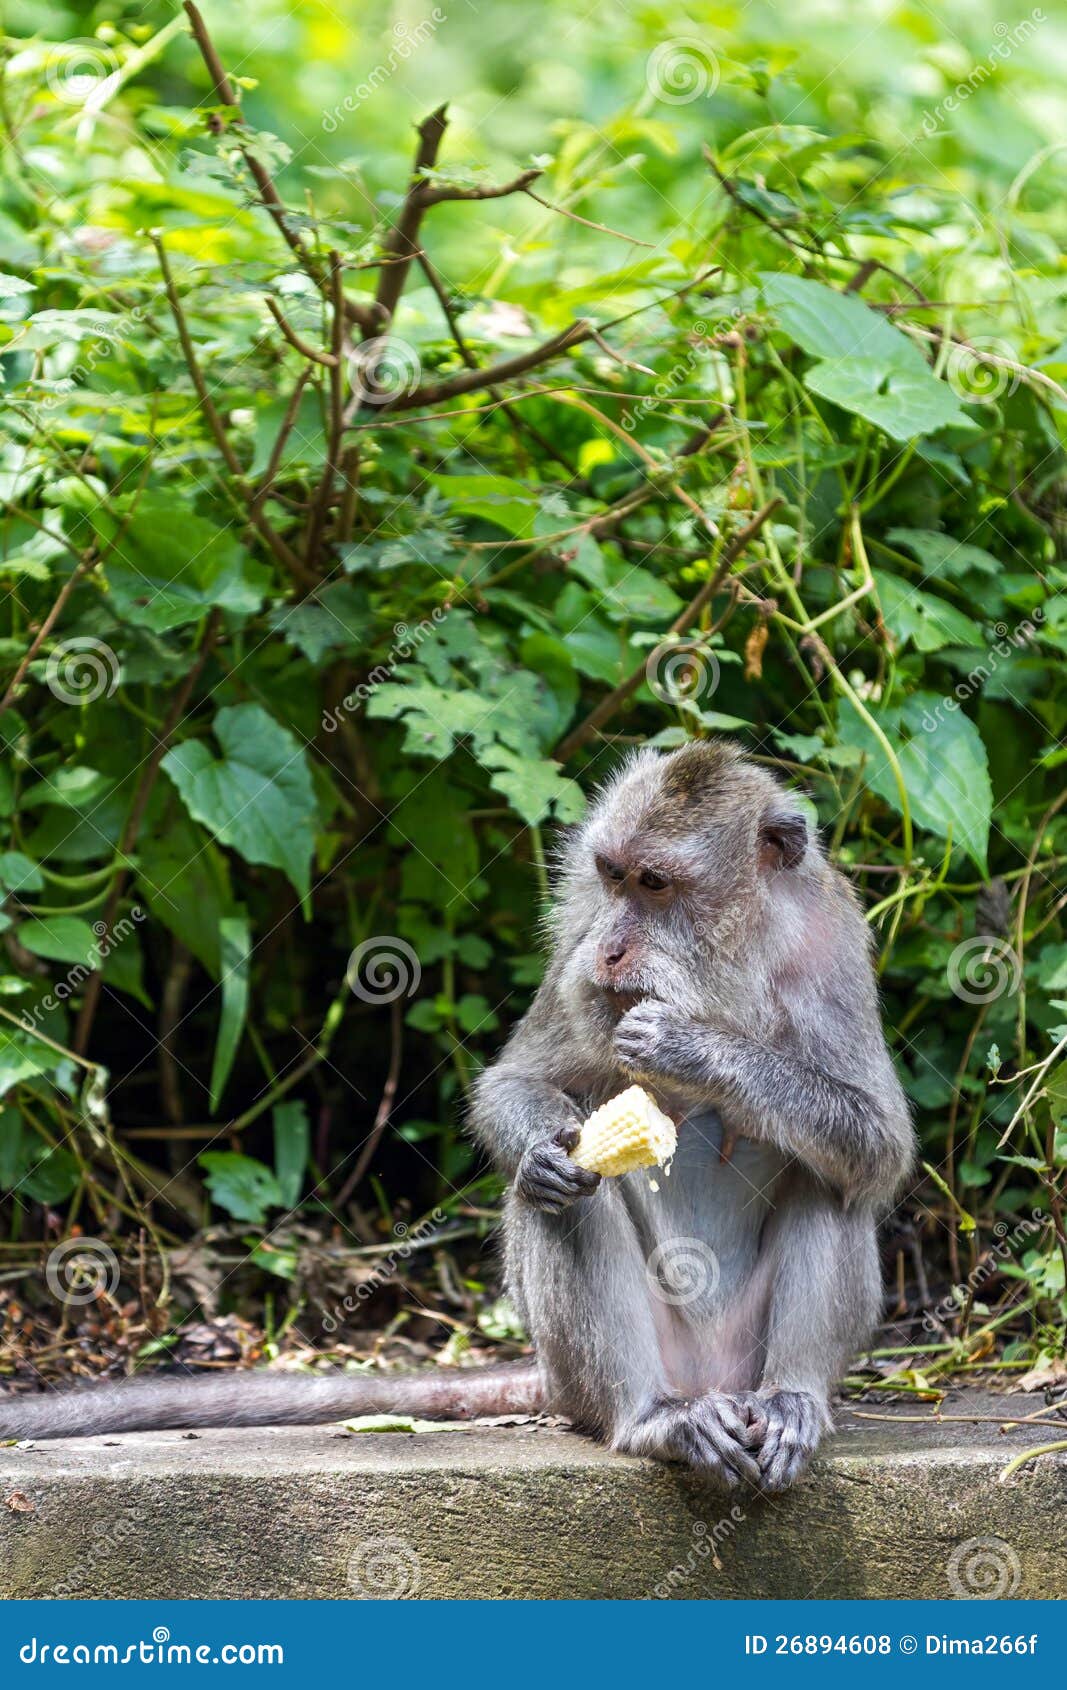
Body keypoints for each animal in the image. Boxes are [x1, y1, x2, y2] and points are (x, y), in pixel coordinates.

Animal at [0, 741, 912, 1493]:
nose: (612, 949)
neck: (735, 959)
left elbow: (878, 1143)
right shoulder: (575, 947)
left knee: (830, 1183)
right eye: (611, 874)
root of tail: (709, 1382)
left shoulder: (833, 942)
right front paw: (545, 1151)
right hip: (599, 1372)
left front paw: (691, 1047)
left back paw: (791, 1400)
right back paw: (652, 1419)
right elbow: (522, 1081)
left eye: (655, 885)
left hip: (745, 1359)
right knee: (564, 1210)